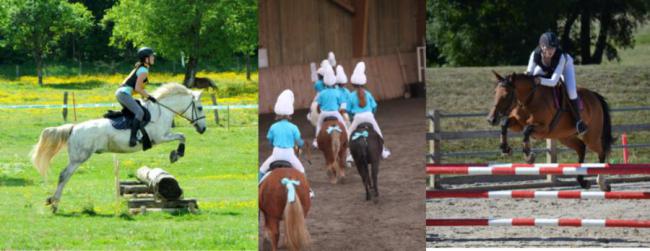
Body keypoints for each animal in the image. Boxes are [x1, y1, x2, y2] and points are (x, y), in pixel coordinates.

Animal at [31, 83, 205, 212]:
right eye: (200, 108)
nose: (203, 129)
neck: (162, 111)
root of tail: (74, 128)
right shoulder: (160, 137)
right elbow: (182, 136)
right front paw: (176, 154)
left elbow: (182, 136)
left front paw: (175, 154)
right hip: (79, 158)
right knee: (64, 175)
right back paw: (54, 203)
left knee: (64, 176)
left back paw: (53, 202)